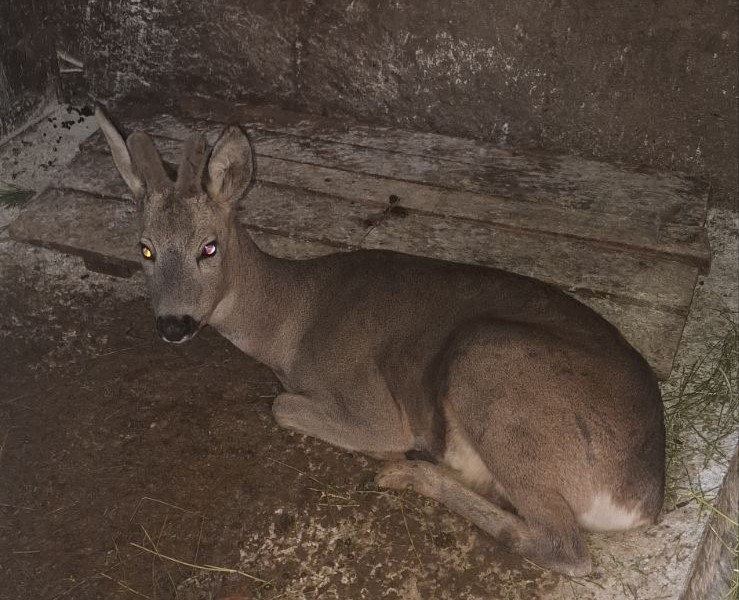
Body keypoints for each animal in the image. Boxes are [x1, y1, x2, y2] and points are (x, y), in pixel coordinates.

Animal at [95, 107, 665, 577]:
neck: (292, 322)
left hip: (490, 362)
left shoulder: (368, 397)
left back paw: (407, 472)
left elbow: (282, 405)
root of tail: (644, 496)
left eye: (208, 248)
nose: (173, 323)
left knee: (565, 548)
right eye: (144, 249)